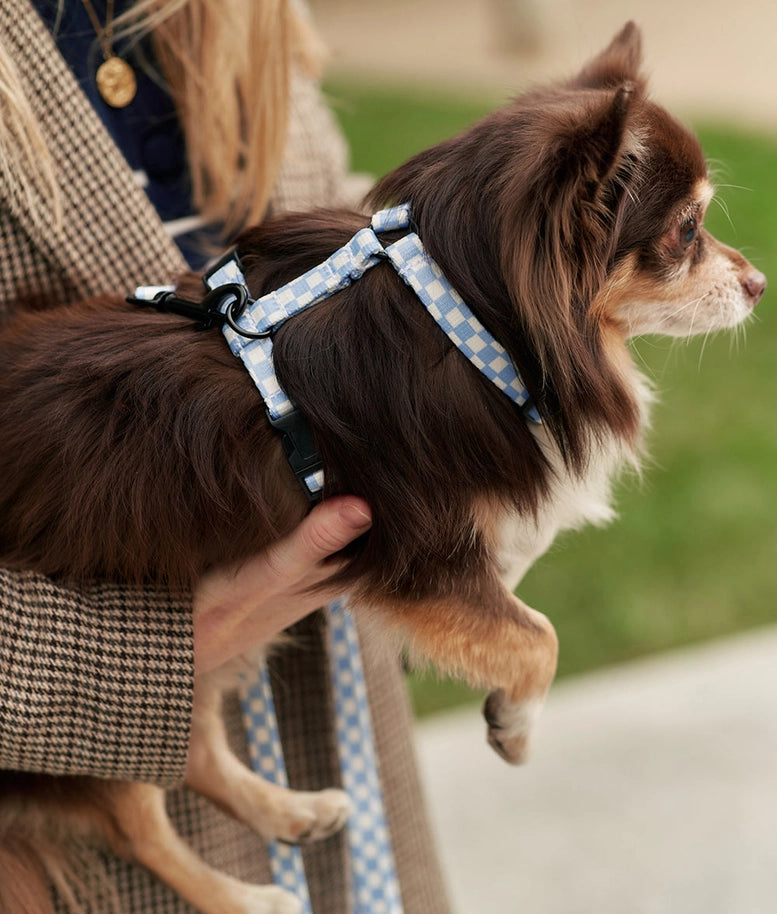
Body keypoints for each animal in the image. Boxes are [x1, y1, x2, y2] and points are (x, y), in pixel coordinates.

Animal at [0, 19, 768, 912]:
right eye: (685, 228)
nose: (758, 282)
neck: (456, 317)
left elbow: (512, 598)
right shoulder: (415, 556)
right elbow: (535, 636)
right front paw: (514, 724)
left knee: (190, 746)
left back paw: (290, 811)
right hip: (109, 713)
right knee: (137, 813)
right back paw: (250, 896)